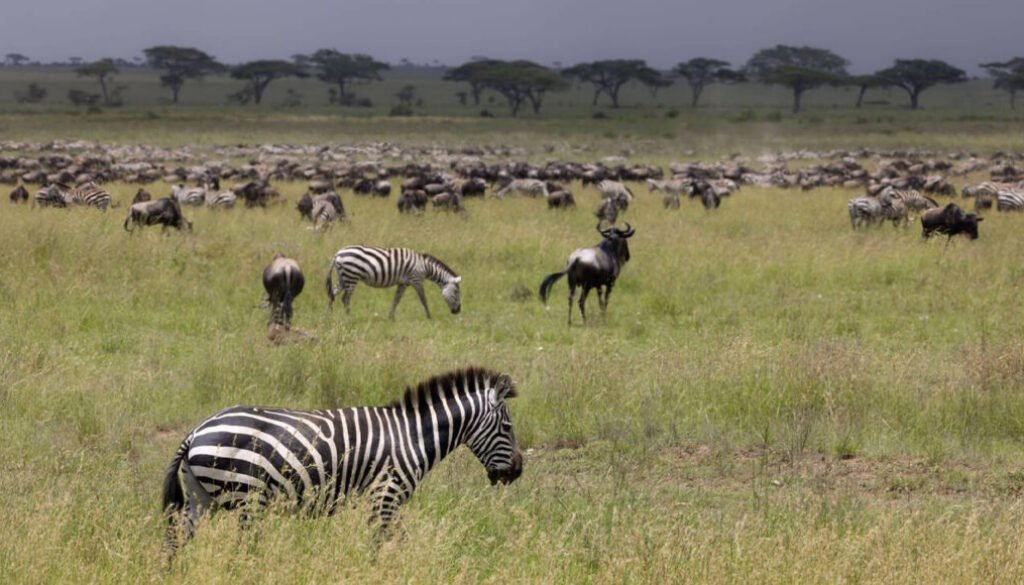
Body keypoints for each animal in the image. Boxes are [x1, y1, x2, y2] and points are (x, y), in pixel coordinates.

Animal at [162, 366, 523, 553]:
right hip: (247, 497)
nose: (517, 472)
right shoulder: (387, 495)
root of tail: (197, 430)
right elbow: (386, 543)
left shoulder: (383, 501)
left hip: (200, 497)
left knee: (178, 542)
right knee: (243, 548)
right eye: (507, 428)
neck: (414, 436)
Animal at [326, 246, 462, 319]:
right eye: (456, 293)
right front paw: (430, 317)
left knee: (332, 293)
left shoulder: (403, 283)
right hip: (351, 276)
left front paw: (391, 317)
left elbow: (397, 299)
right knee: (345, 299)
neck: (424, 266)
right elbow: (424, 300)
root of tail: (337, 253)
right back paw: (349, 317)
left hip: (343, 277)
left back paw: (329, 315)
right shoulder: (416, 279)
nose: (458, 311)